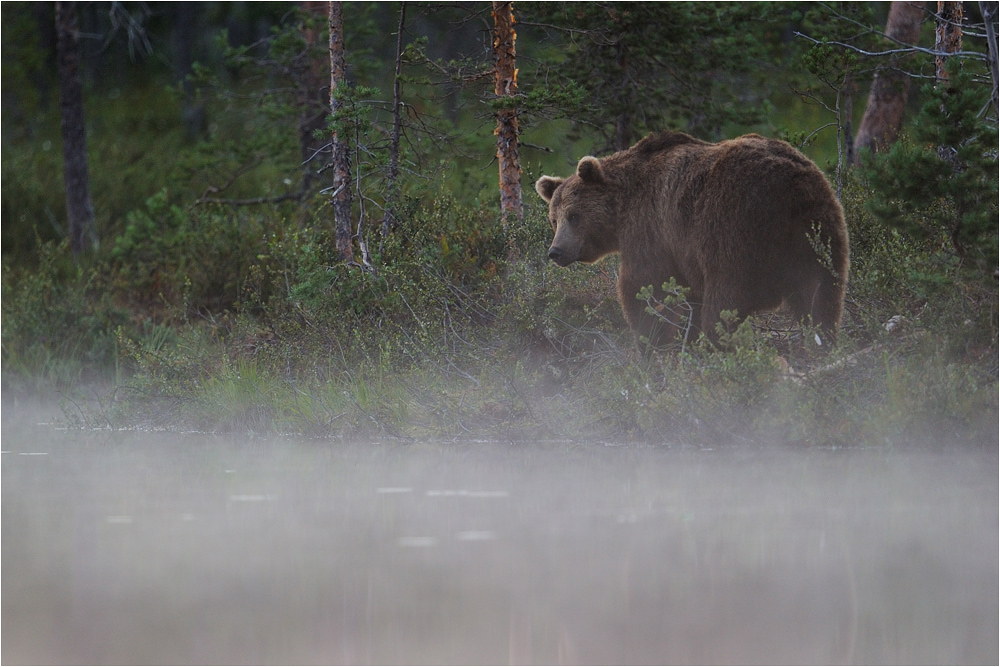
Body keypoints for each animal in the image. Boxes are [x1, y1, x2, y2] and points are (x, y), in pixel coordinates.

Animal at [540, 132, 852, 350]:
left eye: (574, 216)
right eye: (553, 219)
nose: (556, 251)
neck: (623, 205)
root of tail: (789, 189)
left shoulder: (652, 229)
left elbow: (643, 287)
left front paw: (651, 343)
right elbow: (687, 300)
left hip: (732, 229)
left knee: (723, 307)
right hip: (817, 231)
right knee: (821, 299)